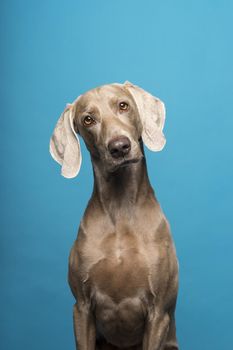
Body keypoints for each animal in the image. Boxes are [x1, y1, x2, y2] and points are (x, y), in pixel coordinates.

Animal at [50, 80, 179, 348]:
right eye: (88, 119)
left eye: (123, 105)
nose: (119, 147)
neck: (121, 209)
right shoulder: (82, 308)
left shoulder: (158, 313)